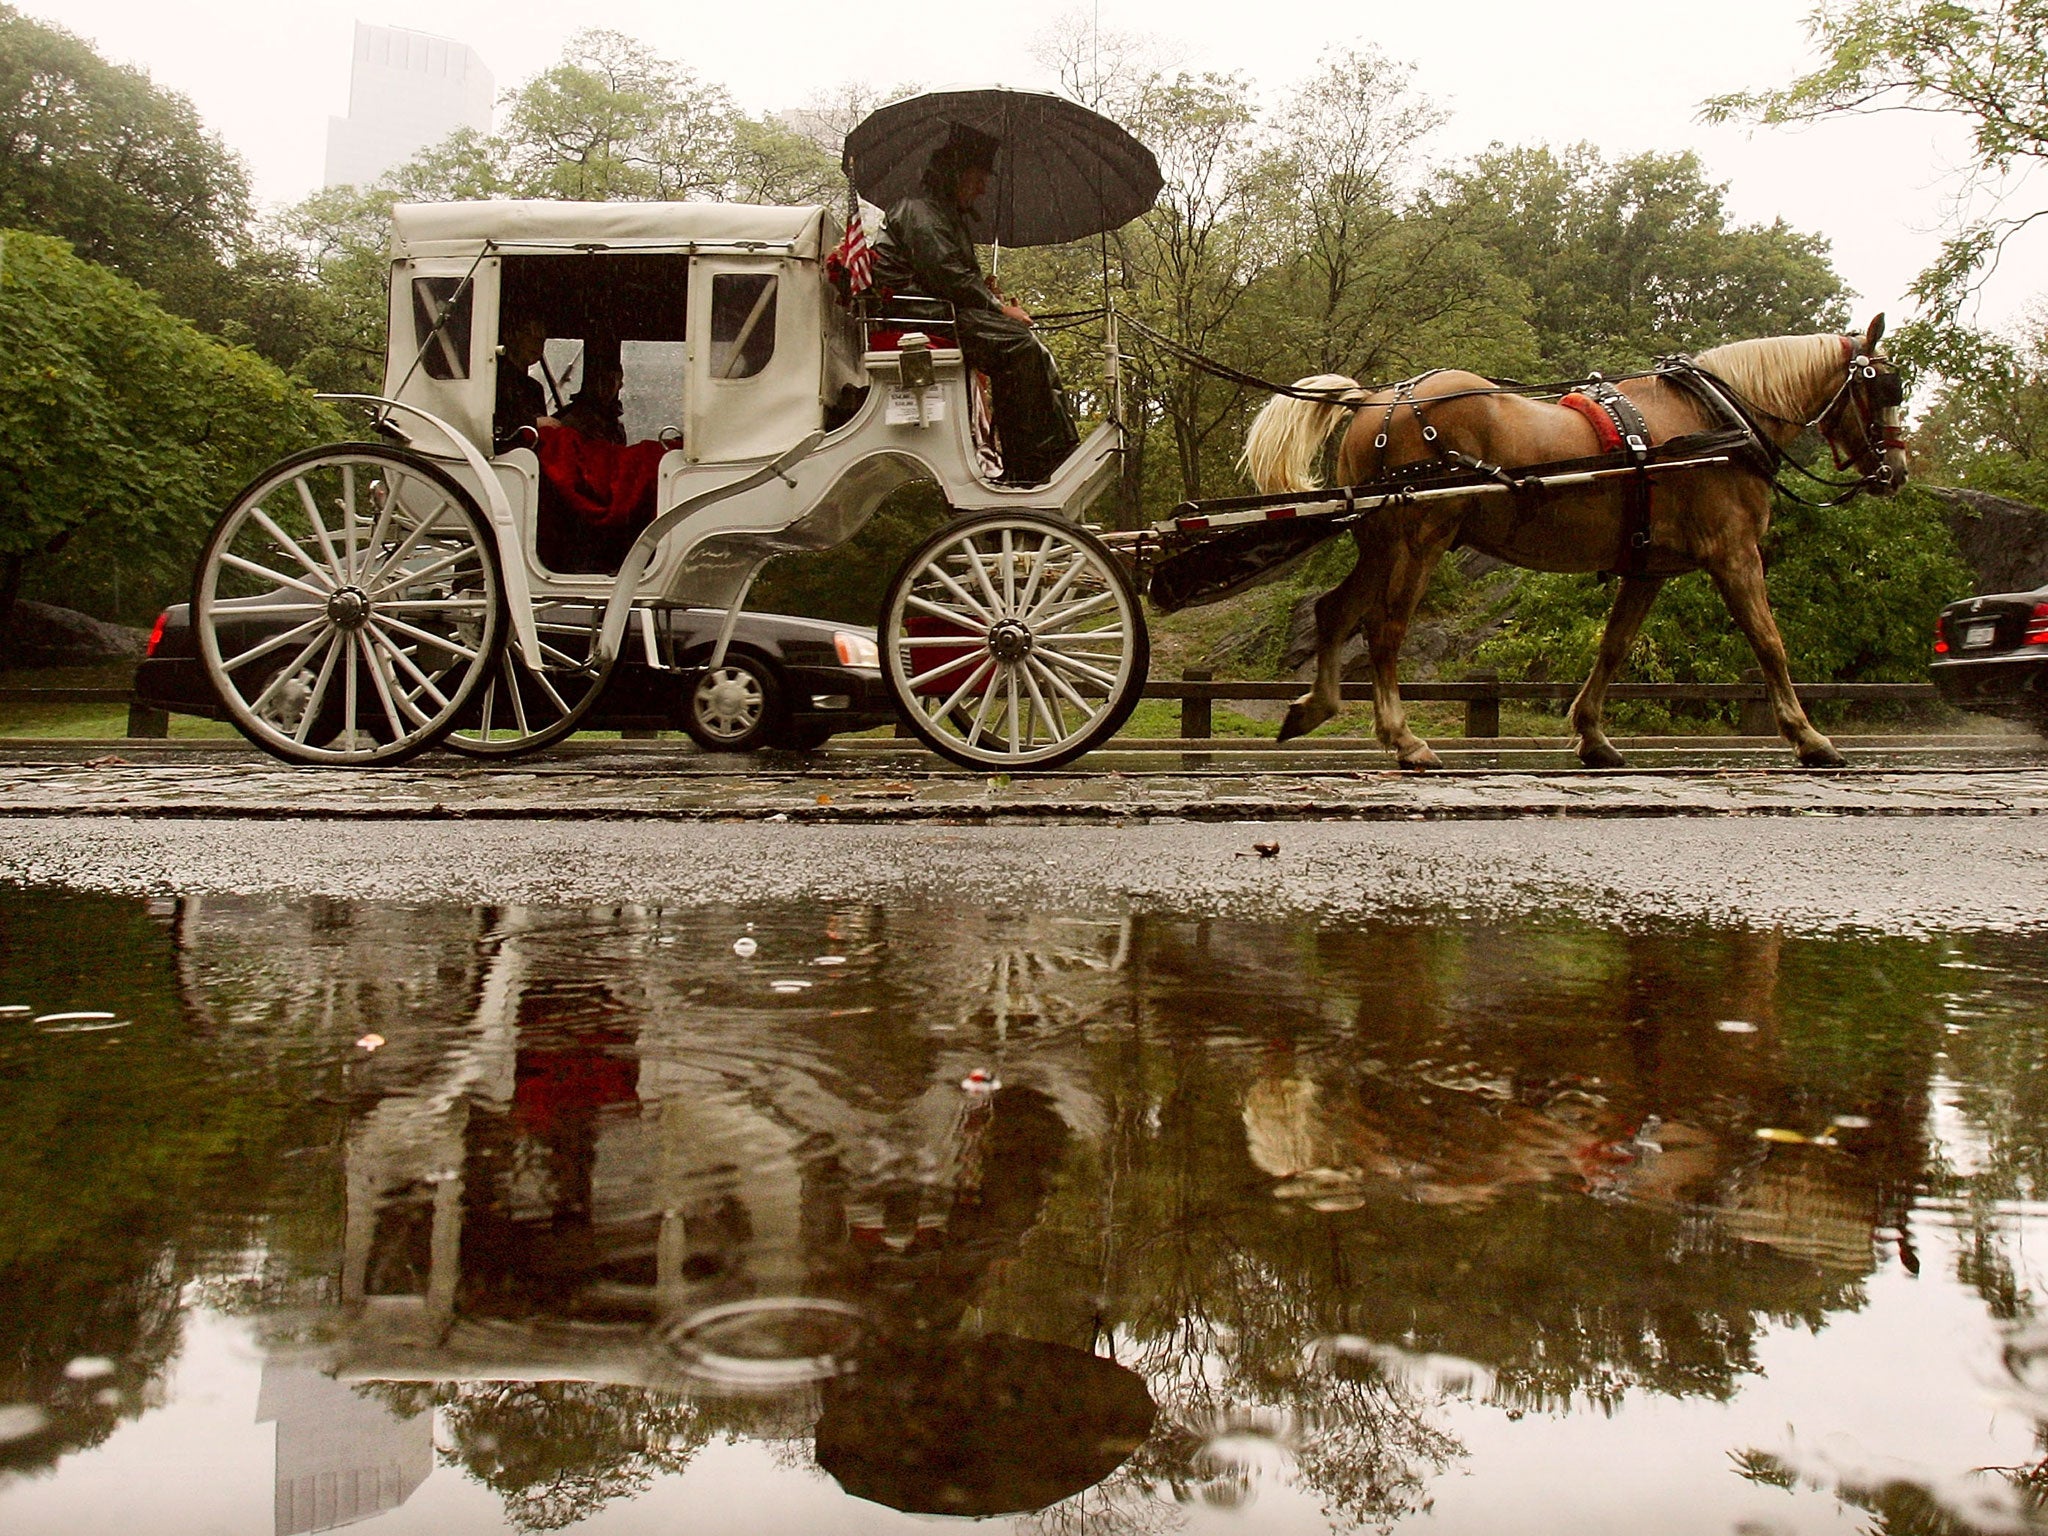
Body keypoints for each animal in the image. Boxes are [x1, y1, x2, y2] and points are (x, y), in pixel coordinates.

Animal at [1236, 317, 1908, 770]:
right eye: (1885, 388)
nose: (1896, 472)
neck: (1721, 420)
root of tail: (1376, 398)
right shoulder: (1734, 552)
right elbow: (1770, 645)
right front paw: (1809, 737)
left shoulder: (1648, 567)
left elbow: (1613, 649)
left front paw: (1593, 735)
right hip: (1420, 537)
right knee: (1384, 629)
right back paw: (1404, 739)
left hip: (1381, 541)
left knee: (1335, 610)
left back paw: (1313, 708)